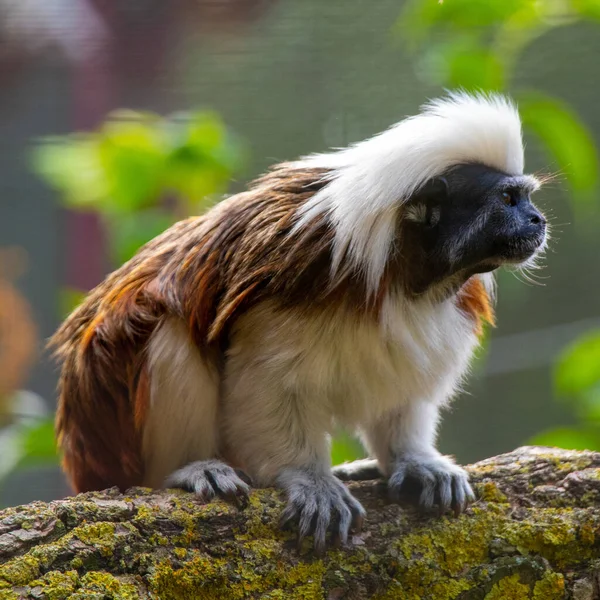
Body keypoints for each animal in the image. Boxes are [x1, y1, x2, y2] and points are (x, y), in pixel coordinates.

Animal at [51, 91, 548, 552]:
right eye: (508, 199)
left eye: (527, 198)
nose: (538, 220)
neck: (401, 273)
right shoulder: (282, 289)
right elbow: (266, 388)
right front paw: (310, 479)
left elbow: (401, 389)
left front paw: (414, 460)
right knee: (170, 330)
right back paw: (192, 468)